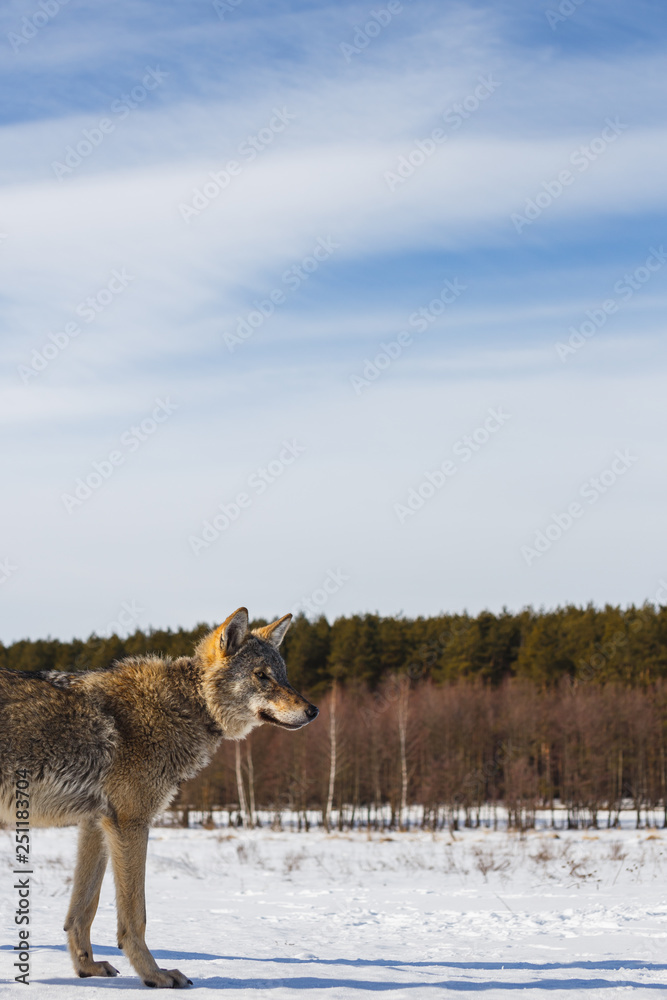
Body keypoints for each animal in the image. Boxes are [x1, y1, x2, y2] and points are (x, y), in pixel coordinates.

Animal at [0, 608, 318, 988]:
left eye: (283, 676)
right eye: (261, 676)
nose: (313, 711)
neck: (182, 707)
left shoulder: (95, 824)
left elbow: (83, 910)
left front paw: (87, 968)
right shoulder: (130, 822)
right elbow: (135, 916)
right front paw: (154, 974)